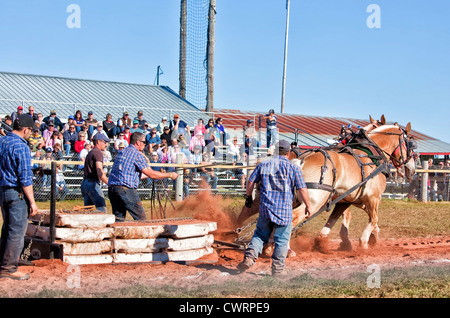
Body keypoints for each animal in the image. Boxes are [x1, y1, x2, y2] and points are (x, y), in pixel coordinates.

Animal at [237, 117, 416, 253]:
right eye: (411, 145)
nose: (411, 170)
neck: (370, 154)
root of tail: (300, 161)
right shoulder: (372, 197)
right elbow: (373, 218)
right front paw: (364, 243)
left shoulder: (346, 199)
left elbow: (335, 218)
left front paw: (324, 240)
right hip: (314, 200)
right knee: (292, 218)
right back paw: (285, 249)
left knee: (256, 212)